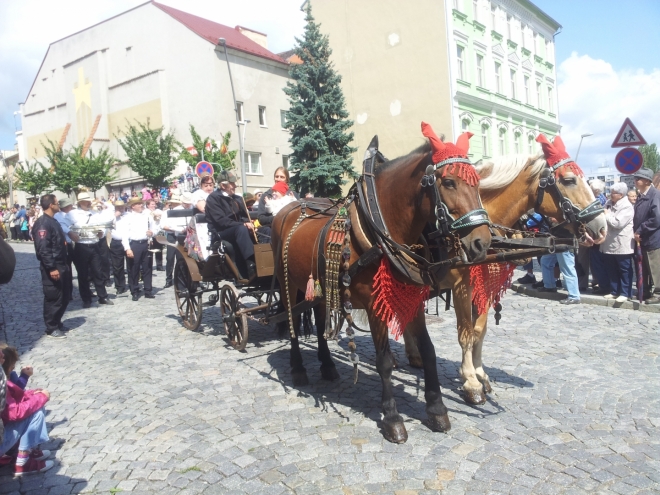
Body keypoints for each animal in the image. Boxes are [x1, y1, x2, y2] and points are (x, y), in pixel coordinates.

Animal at [270, 129, 492, 446]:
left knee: (320, 320)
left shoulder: (413, 298)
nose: (482, 243)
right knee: (291, 322)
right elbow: (384, 361)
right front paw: (392, 418)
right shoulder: (375, 305)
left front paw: (437, 409)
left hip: (321, 290)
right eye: (449, 182)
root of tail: (287, 210)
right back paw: (299, 368)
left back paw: (327, 365)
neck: (381, 226)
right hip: (289, 284)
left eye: (477, 183)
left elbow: (428, 350)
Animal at [402, 134, 608, 404]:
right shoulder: (461, 286)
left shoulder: (485, 286)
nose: (602, 226)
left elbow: (479, 330)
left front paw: (480, 373)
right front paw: (470, 382)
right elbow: (465, 333)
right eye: (569, 180)